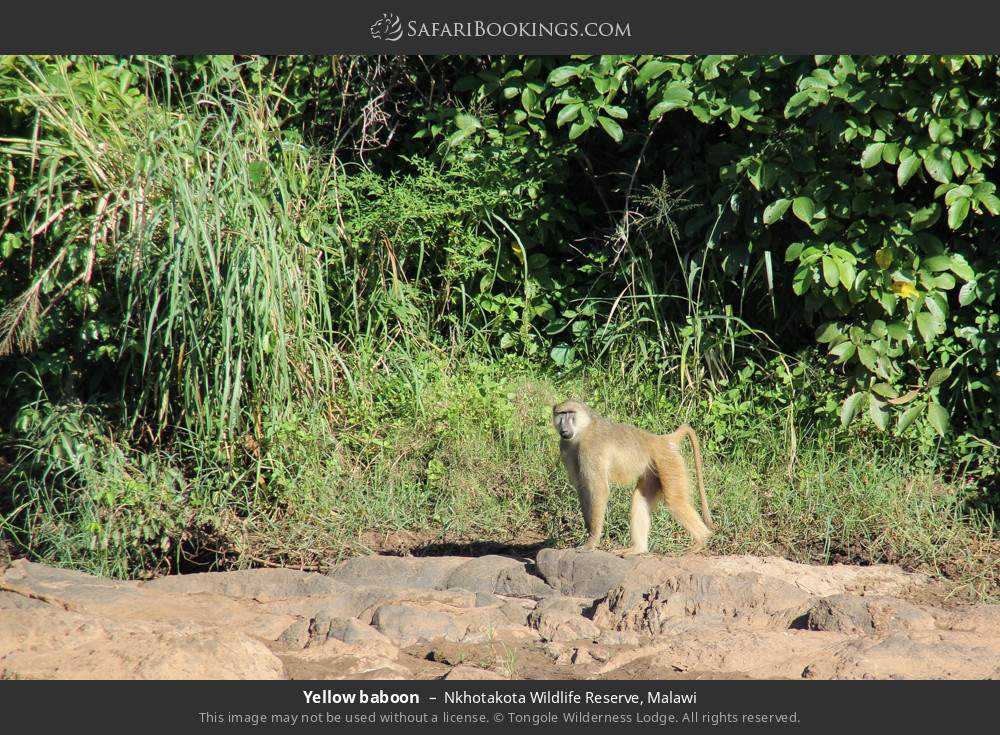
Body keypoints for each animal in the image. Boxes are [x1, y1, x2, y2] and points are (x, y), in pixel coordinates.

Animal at [552, 400, 715, 556]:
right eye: (561, 414)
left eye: (570, 413)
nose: (564, 429)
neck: (583, 430)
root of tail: (661, 440)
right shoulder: (565, 446)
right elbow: (581, 487)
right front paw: (588, 529)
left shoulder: (591, 447)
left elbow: (599, 490)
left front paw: (592, 541)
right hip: (653, 471)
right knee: (640, 499)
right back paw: (638, 549)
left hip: (668, 462)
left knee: (675, 501)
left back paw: (702, 539)